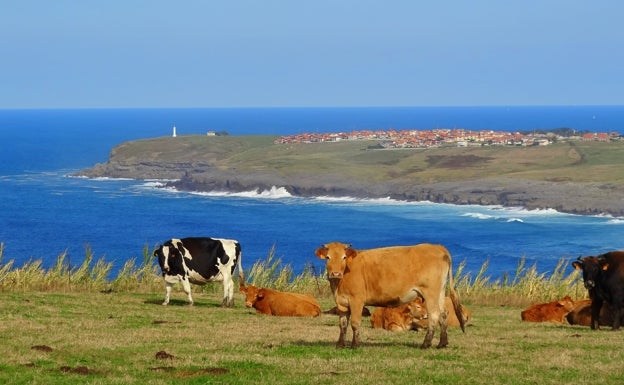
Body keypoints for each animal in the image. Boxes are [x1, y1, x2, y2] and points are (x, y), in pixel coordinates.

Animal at [314, 243, 466, 348]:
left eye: (344, 257)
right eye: (328, 257)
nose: (335, 273)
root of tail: (438, 247)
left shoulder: (357, 300)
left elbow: (355, 323)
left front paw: (355, 345)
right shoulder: (342, 302)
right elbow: (343, 324)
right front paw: (340, 344)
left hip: (430, 293)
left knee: (434, 315)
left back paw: (425, 344)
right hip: (439, 292)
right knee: (443, 313)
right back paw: (442, 343)